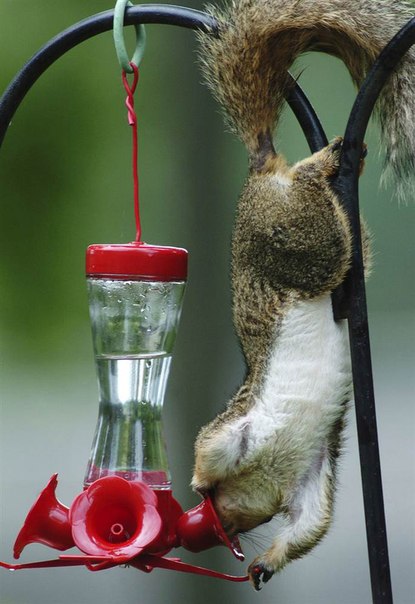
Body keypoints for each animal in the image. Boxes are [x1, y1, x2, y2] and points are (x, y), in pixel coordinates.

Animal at [191, 0, 415, 588]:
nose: (223, 535)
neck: (270, 470)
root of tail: (259, 174)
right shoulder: (297, 475)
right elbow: (306, 525)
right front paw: (266, 561)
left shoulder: (280, 455)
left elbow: (304, 522)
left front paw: (199, 482)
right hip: (319, 240)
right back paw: (336, 161)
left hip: (294, 235)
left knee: (313, 207)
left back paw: (326, 161)